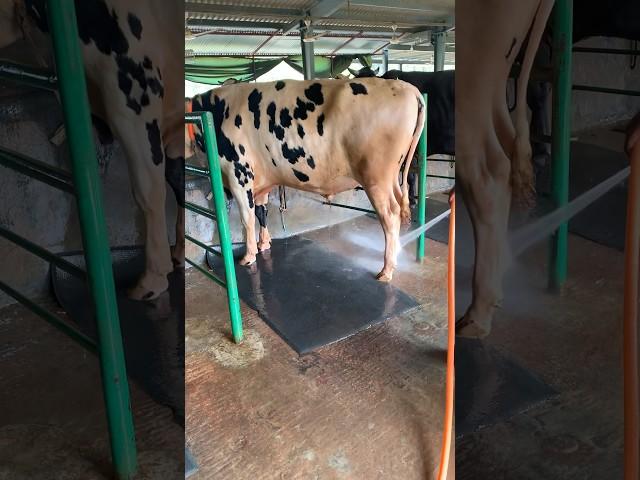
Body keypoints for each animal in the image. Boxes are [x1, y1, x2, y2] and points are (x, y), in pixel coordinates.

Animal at [185, 78, 424, 282]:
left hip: (376, 179)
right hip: (391, 177)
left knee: (390, 215)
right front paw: (264, 244)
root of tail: (408, 88)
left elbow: (247, 219)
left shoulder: (239, 176)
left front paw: (248, 256)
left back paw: (386, 270)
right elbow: (262, 212)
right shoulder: (261, 182)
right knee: (399, 202)